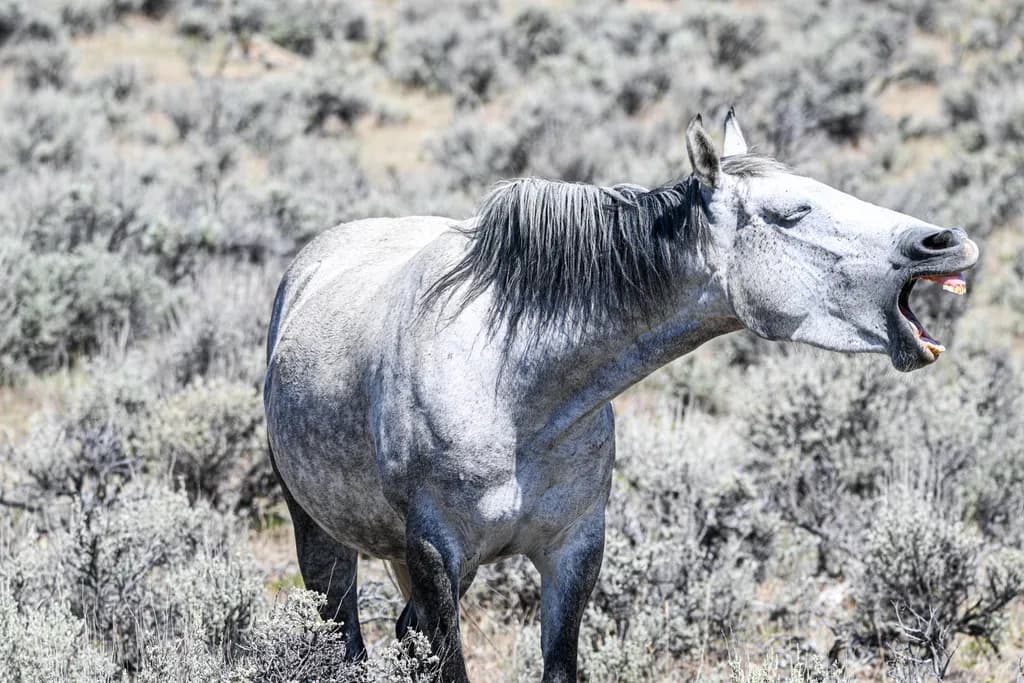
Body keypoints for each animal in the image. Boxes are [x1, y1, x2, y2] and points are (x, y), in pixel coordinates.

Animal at [263, 109, 978, 682]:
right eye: (791, 212)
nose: (945, 242)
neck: (514, 392)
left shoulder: (574, 550)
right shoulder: (437, 553)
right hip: (321, 536)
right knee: (344, 638)